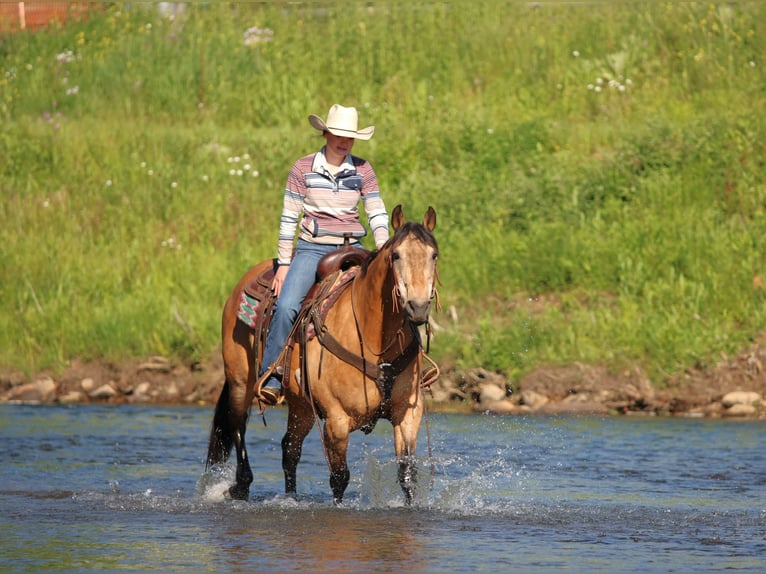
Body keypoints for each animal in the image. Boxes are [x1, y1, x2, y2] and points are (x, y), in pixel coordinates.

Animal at [205, 205, 439, 504]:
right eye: (396, 255)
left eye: (434, 255)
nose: (418, 306)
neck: (373, 339)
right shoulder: (336, 419)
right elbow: (339, 478)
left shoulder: (408, 412)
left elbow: (407, 475)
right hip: (239, 380)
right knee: (238, 425)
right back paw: (240, 486)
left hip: (301, 405)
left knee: (289, 449)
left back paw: (291, 498)